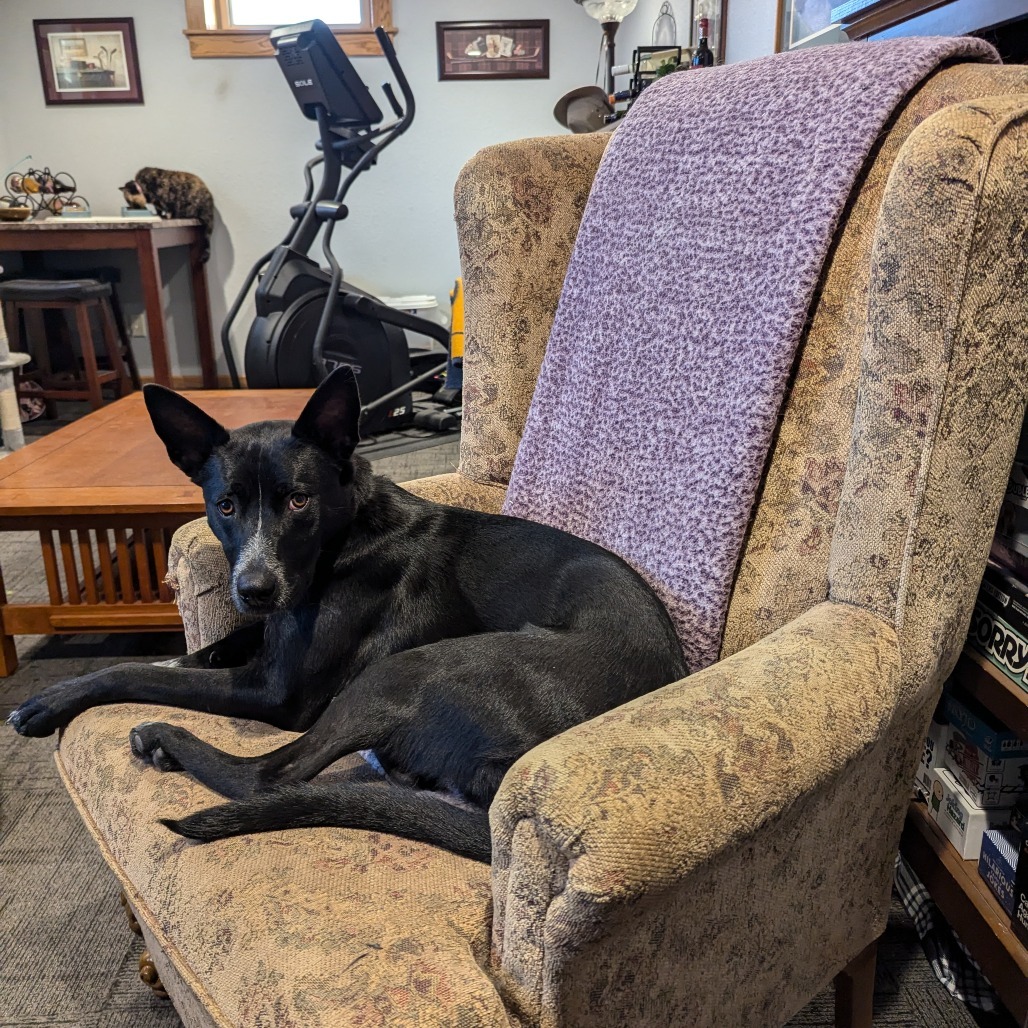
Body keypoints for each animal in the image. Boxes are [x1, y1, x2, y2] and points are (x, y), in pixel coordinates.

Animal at [8, 370, 686, 859]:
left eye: (298, 501)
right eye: (225, 506)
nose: (253, 588)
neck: (345, 535)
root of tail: (502, 786)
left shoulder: (277, 691)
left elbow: (140, 672)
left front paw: (51, 701)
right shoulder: (268, 636)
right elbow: (207, 649)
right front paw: (196, 648)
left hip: (401, 673)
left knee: (270, 776)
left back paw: (163, 739)